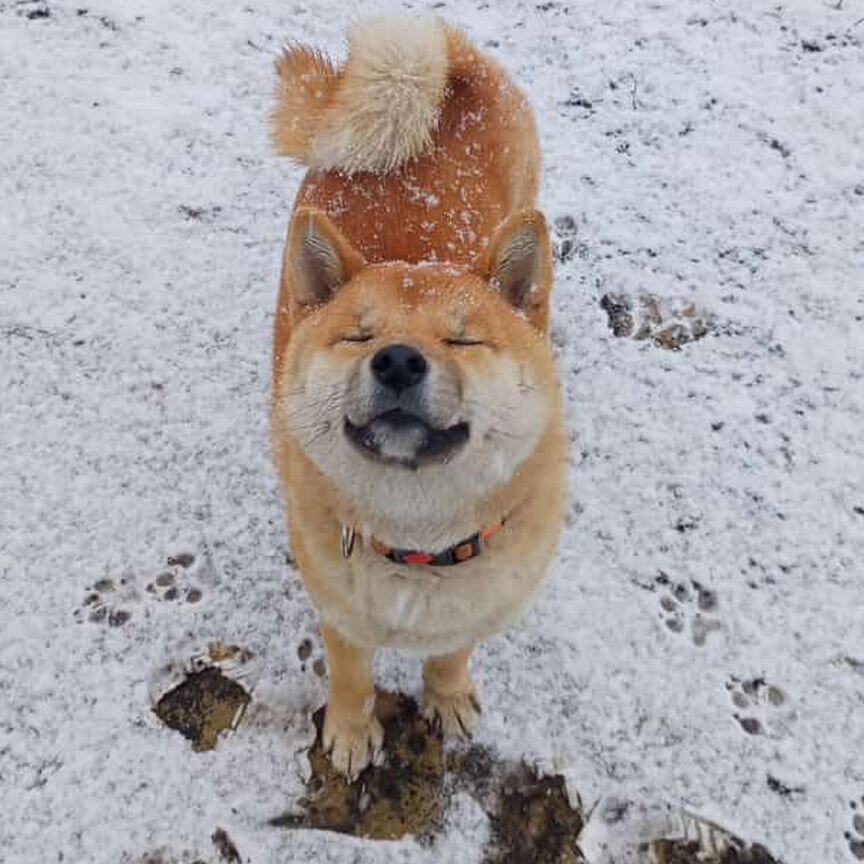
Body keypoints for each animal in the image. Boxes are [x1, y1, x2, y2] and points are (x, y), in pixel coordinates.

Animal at [270, 13, 568, 780]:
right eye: (358, 335)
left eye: (465, 341)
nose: (399, 361)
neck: (418, 548)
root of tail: (449, 70)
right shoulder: (340, 613)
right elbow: (351, 677)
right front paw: (351, 733)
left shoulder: (477, 606)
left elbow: (452, 653)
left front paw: (447, 695)